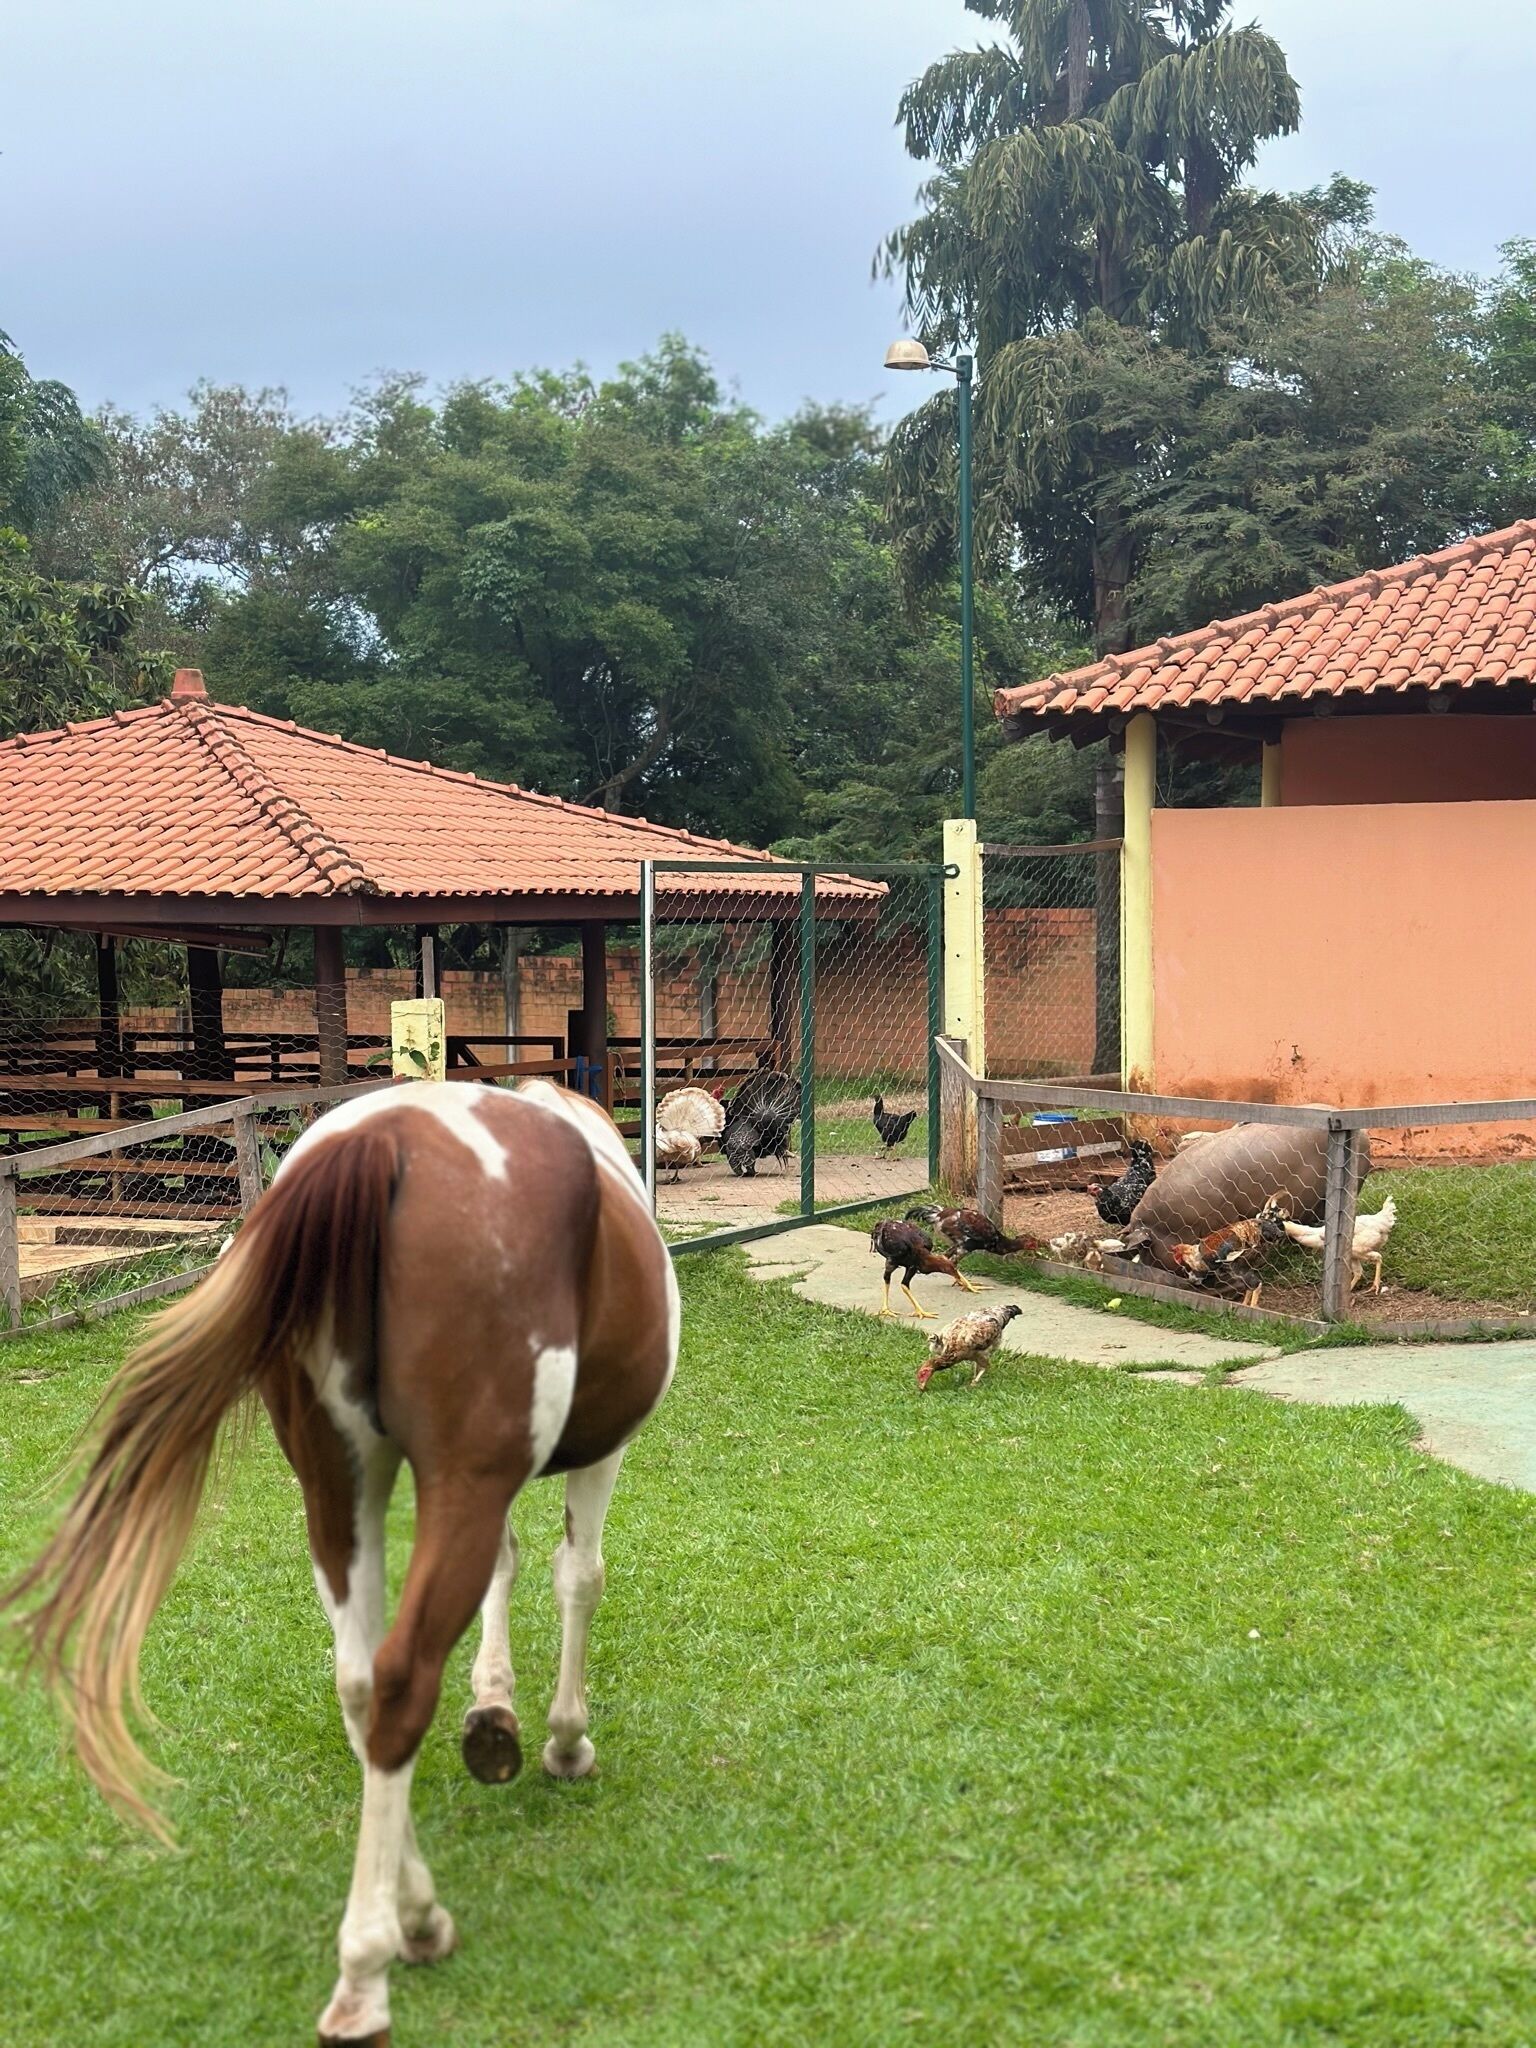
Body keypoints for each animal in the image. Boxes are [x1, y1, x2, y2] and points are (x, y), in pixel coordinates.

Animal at [5, 1079, 679, 2045]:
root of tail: (381, 1144)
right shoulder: (594, 1455)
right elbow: (576, 1578)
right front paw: (562, 1739)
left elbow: (507, 1570)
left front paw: (495, 1710)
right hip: (456, 1482)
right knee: (398, 1682)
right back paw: (366, 1971)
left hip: (337, 1484)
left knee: (360, 1685)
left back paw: (417, 1914)